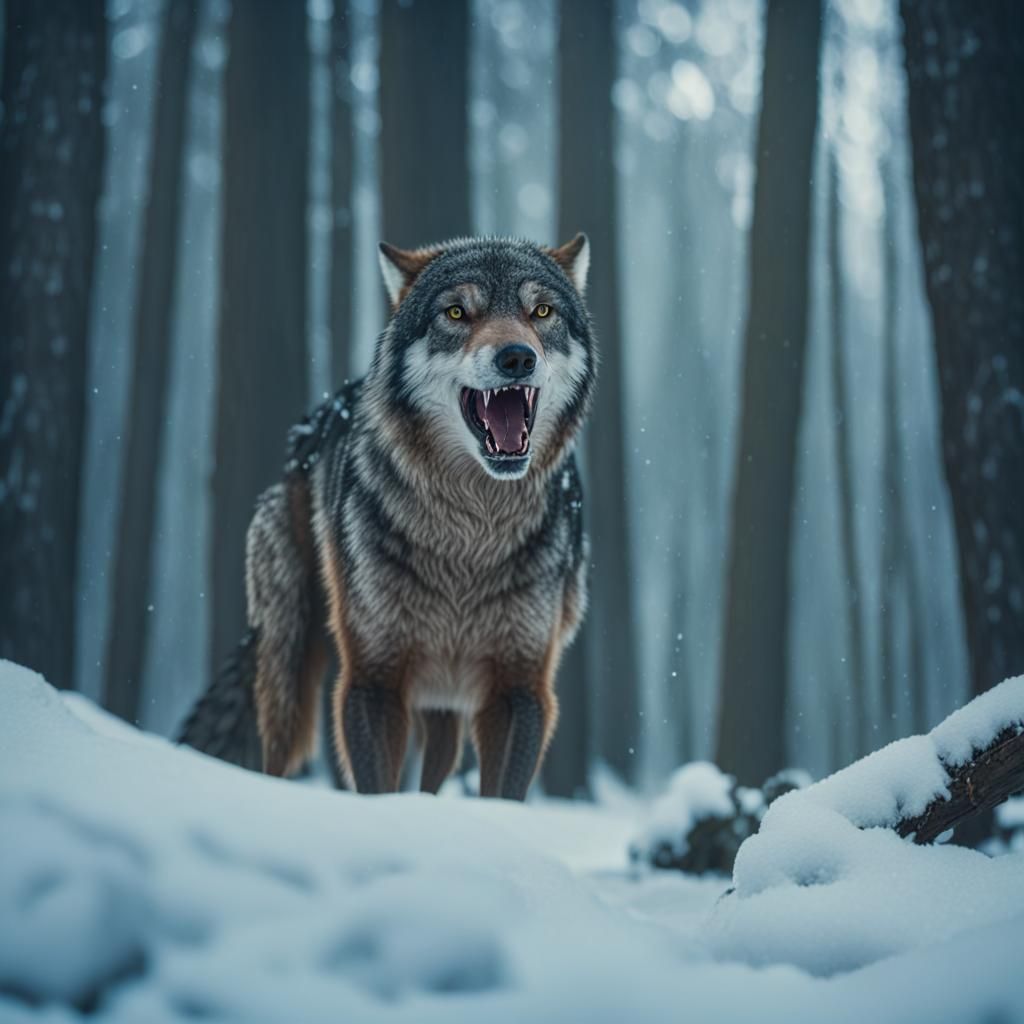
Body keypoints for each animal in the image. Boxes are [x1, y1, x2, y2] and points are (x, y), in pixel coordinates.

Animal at [179, 234, 594, 799]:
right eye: (457, 312)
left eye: (542, 312)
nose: (516, 357)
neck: (471, 536)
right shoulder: (373, 680)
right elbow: (377, 788)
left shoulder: (520, 689)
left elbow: (502, 794)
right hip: (290, 672)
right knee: (272, 756)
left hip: (443, 702)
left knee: (436, 769)